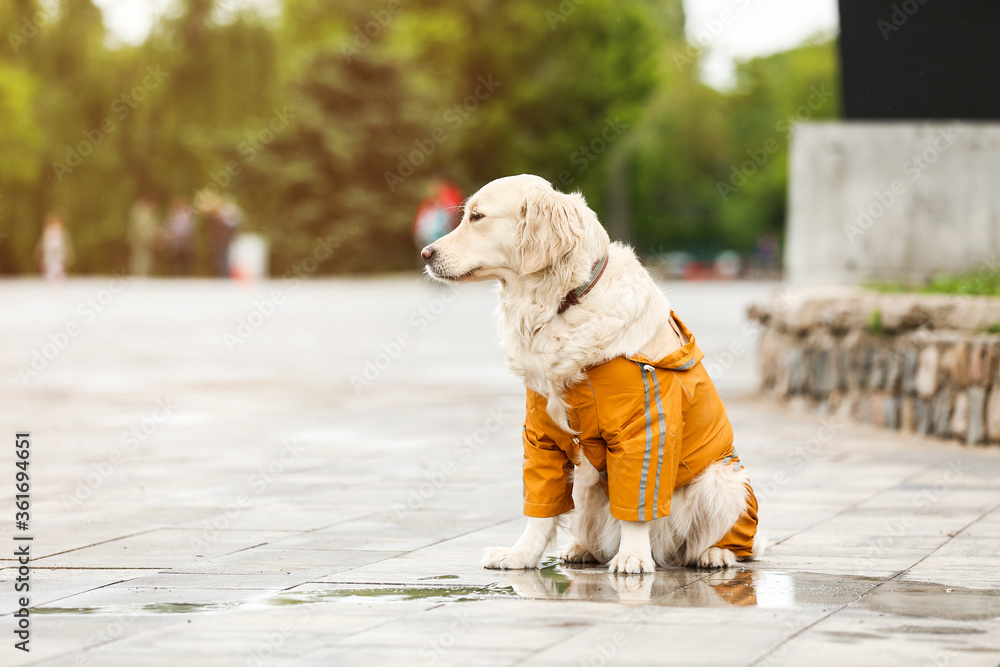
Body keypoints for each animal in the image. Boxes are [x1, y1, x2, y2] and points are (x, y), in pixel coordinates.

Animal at [424, 176, 764, 576]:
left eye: (477, 217)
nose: (425, 253)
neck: (562, 303)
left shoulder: (643, 431)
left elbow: (636, 505)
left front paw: (633, 557)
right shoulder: (541, 432)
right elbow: (540, 509)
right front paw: (521, 555)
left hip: (722, 479)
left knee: (724, 544)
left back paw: (714, 554)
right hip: (586, 484)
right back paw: (581, 549)